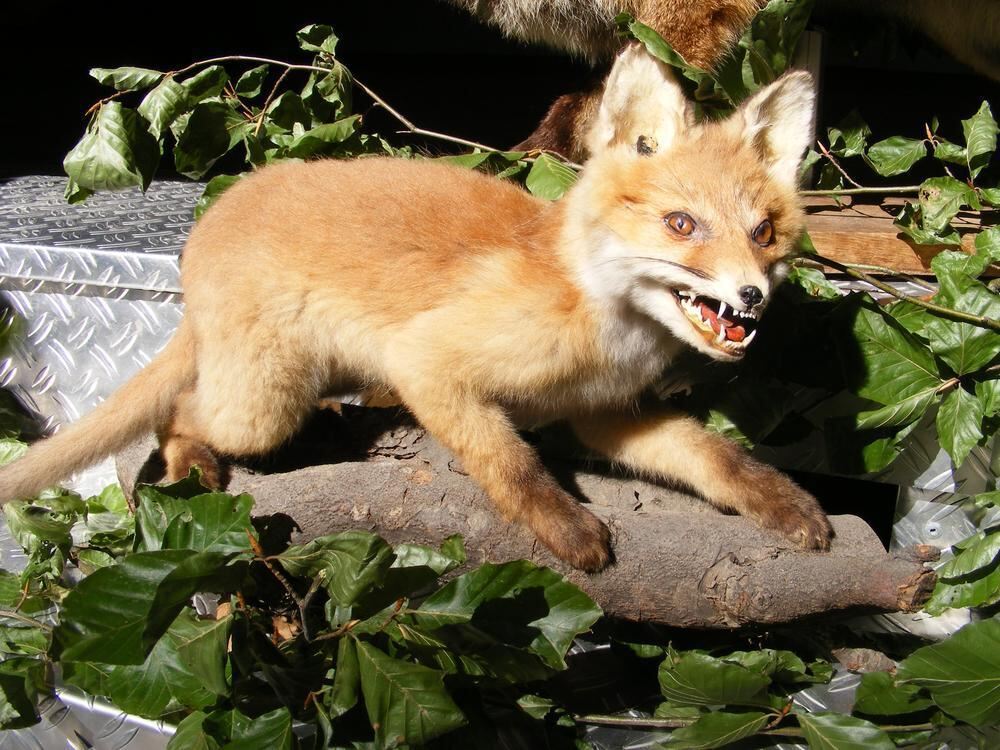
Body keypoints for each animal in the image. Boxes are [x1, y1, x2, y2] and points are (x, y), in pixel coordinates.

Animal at [0, 47, 832, 572]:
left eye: (764, 233)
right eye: (681, 225)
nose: (753, 298)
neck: (604, 329)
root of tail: (211, 220)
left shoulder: (607, 413)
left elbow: (713, 456)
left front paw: (782, 503)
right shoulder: (431, 363)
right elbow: (511, 464)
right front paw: (565, 529)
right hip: (263, 408)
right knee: (181, 409)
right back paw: (190, 459)